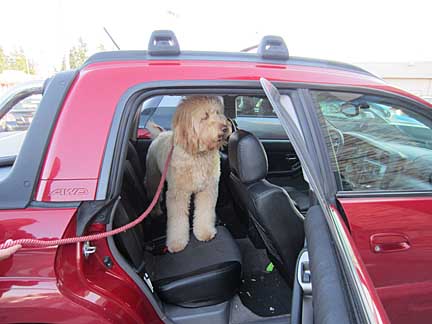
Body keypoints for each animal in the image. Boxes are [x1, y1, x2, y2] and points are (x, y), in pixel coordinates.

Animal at [144, 95, 233, 252]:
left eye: (217, 113)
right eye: (205, 116)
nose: (225, 127)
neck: (198, 154)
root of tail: (161, 133)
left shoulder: (208, 190)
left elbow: (205, 212)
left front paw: (204, 232)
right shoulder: (177, 194)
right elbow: (177, 220)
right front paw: (176, 243)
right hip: (153, 176)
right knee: (154, 193)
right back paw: (155, 212)